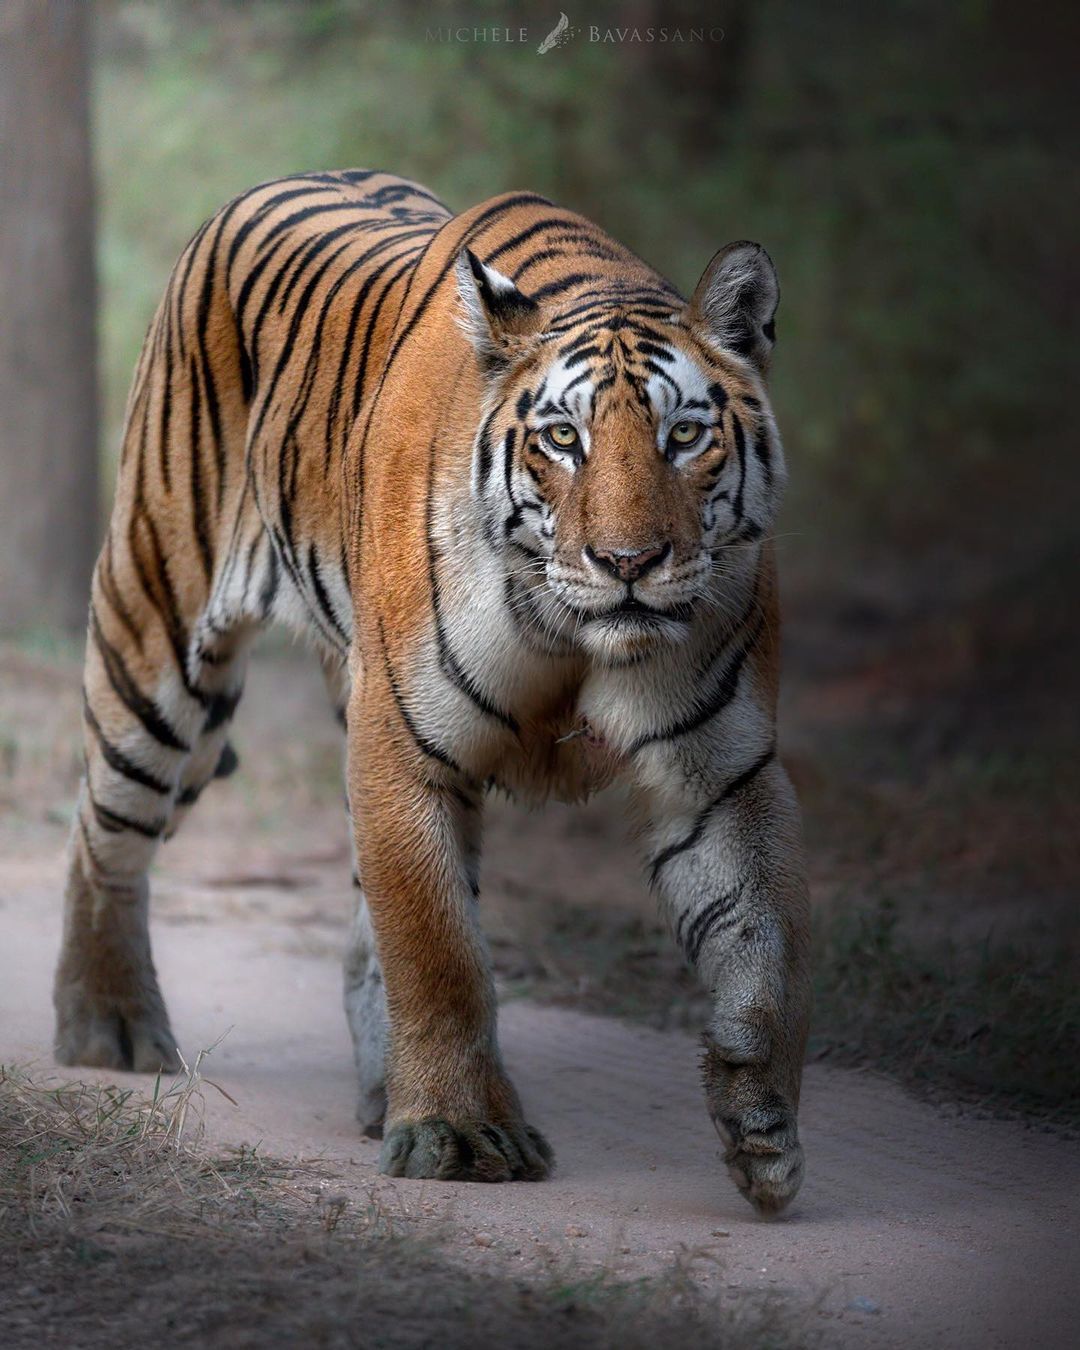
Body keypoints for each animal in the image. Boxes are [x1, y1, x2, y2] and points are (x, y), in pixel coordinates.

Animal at [52, 168, 810, 1215]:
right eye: (563, 439)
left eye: (685, 435)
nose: (627, 563)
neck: (573, 635)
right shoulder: (402, 743)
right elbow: (437, 948)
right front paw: (458, 1133)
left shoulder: (721, 769)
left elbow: (761, 936)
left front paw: (761, 1124)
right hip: (156, 637)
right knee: (103, 831)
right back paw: (108, 1026)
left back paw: (378, 1091)